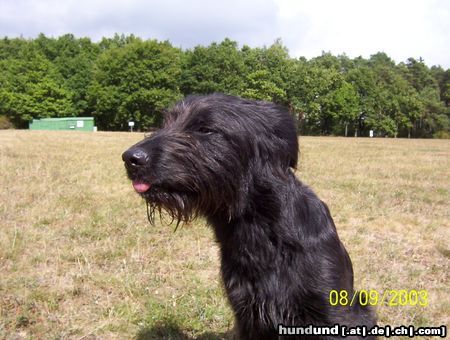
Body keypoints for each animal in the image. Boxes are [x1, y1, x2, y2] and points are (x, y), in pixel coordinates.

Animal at [122, 93, 376, 340]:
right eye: (166, 122)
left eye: (205, 129)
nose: (130, 158)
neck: (256, 230)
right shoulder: (246, 314)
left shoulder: (333, 312)